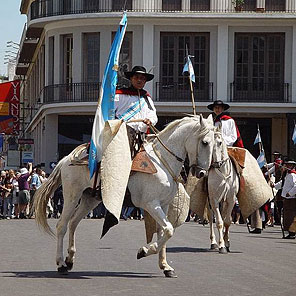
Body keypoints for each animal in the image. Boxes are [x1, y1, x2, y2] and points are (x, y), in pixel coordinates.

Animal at [33, 115, 215, 278]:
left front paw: (165, 266)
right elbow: (168, 230)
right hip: (72, 195)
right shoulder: (151, 204)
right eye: (205, 142)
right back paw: (61, 264)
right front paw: (144, 251)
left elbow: (163, 232)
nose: (202, 173)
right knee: (62, 226)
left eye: (215, 144)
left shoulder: (164, 205)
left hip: (89, 199)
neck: (162, 160)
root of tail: (66, 159)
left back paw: (70, 260)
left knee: (73, 223)